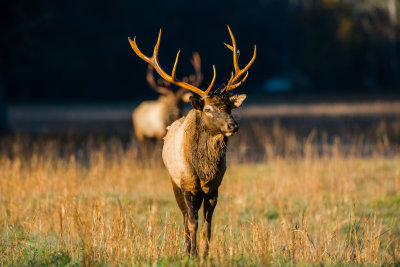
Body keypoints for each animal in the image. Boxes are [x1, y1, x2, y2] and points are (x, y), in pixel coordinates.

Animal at [130, 26, 258, 256]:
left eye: (230, 107)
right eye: (208, 109)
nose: (232, 126)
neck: (204, 170)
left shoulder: (214, 187)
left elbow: (207, 226)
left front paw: (205, 254)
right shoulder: (187, 183)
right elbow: (191, 223)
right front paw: (191, 254)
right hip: (173, 180)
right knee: (184, 216)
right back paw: (187, 247)